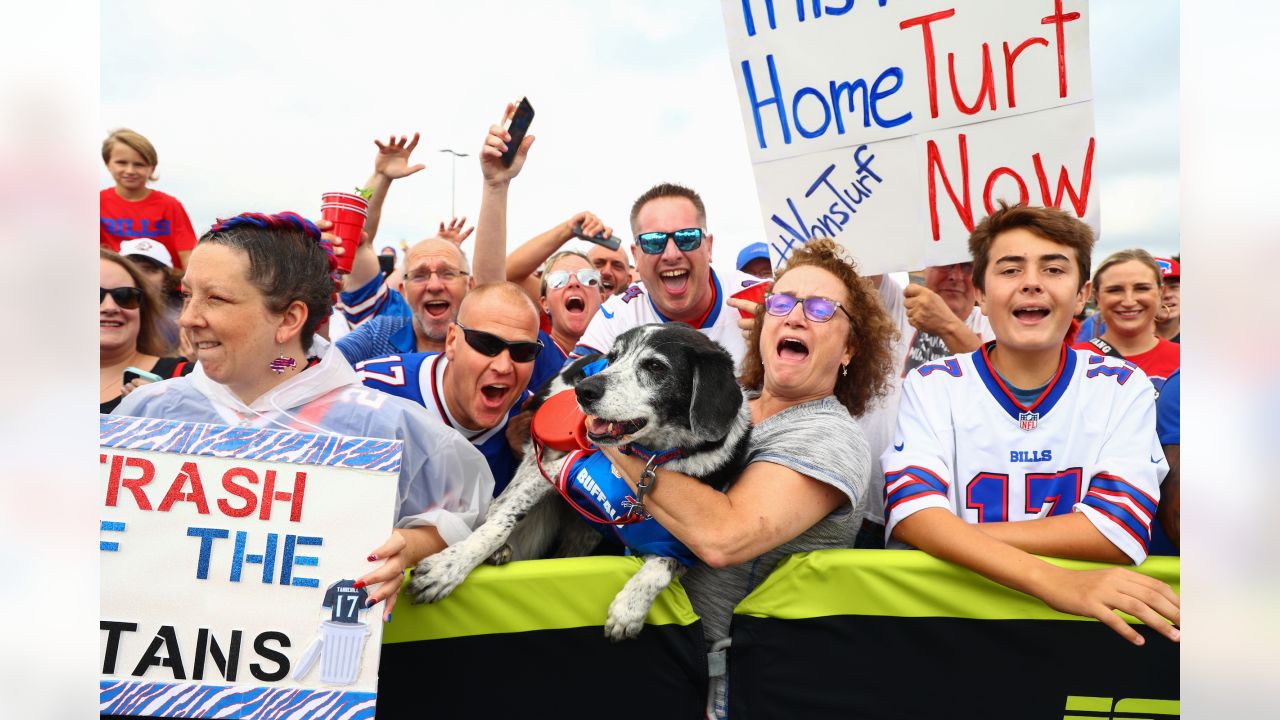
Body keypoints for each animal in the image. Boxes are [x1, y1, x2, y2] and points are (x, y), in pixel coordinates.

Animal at [407, 322, 747, 635]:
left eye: (655, 366)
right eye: (614, 357)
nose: (584, 390)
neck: (649, 462)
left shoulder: (687, 545)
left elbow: (659, 569)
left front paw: (629, 608)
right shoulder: (554, 474)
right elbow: (498, 524)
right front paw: (448, 566)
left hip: (585, 533)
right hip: (538, 459)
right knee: (499, 505)